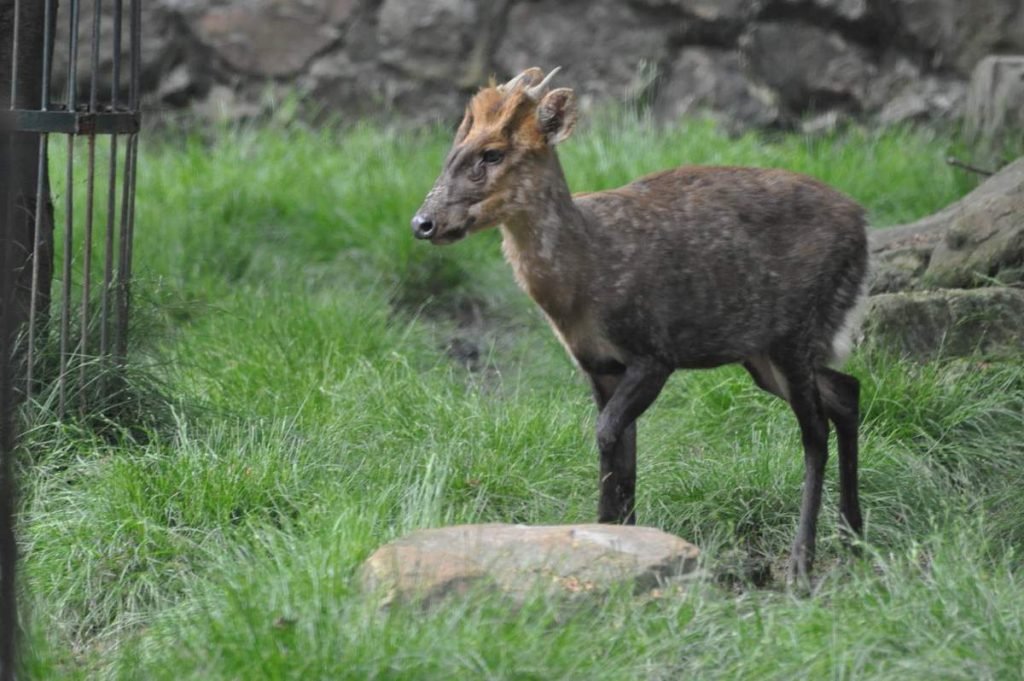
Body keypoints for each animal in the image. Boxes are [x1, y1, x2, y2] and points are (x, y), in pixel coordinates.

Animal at [407, 66, 864, 581]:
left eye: (492, 153)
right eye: (453, 149)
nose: (422, 223)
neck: (585, 275)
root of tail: (863, 225)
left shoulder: (653, 351)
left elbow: (606, 432)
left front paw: (614, 537)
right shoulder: (598, 366)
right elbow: (620, 450)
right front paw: (617, 537)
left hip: (796, 329)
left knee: (815, 431)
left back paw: (802, 563)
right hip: (764, 353)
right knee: (847, 392)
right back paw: (854, 535)